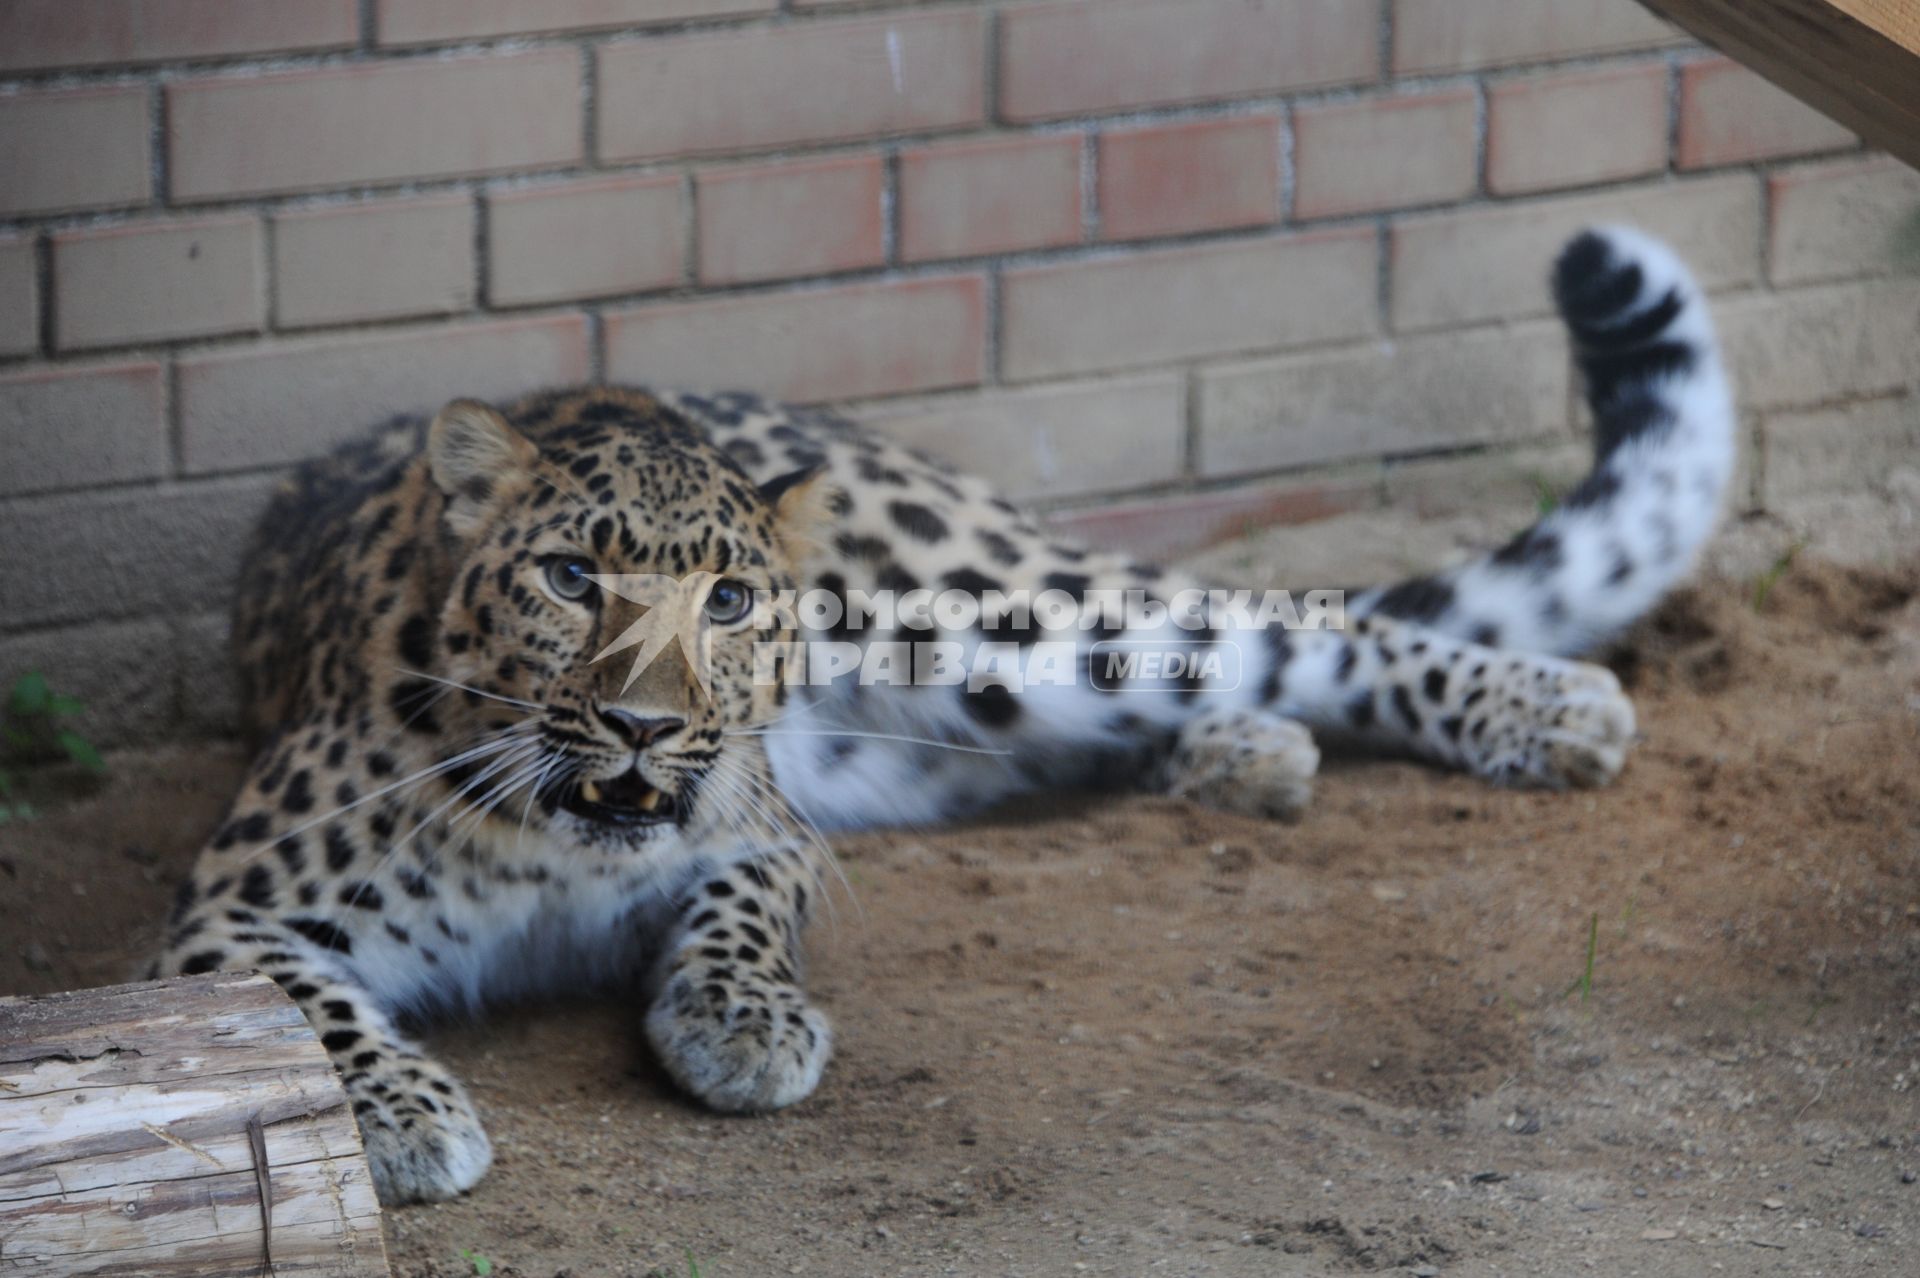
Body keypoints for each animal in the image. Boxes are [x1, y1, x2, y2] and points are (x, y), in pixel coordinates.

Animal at [157, 231, 1735, 1205]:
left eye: (730, 600)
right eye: (570, 577)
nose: (648, 728)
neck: (556, 845)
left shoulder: (768, 829)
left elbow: (735, 912)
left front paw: (743, 1021)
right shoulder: (228, 917)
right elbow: (310, 1020)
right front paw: (399, 1117)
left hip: (1003, 611)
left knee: (1298, 624)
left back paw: (1553, 711)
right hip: (952, 724)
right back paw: (1247, 756)